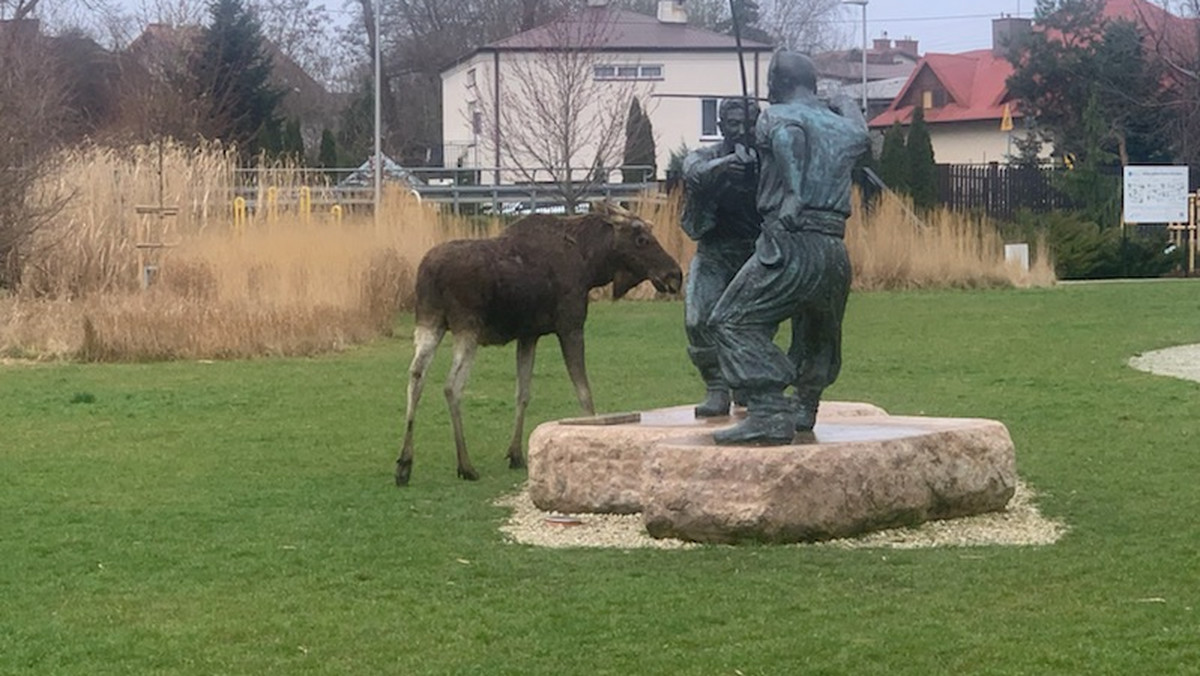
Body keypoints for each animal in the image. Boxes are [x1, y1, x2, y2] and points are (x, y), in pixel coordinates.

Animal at [398, 200, 681, 487]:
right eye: (642, 239)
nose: (675, 275)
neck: (591, 264)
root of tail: (430, 274)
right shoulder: (570, 327)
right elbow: (584, 393)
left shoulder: (528, 335)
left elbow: (522, 393)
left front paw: (515, 454)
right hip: (467, 328)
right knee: (451, 386)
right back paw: (466, 466)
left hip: (429, 322)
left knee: (416, 376)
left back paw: (404, 464)